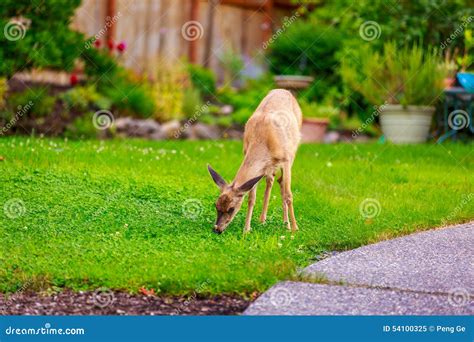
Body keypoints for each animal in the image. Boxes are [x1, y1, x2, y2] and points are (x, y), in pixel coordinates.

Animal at [208, 88, 304, 234]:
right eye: (216, 206)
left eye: (231, 209)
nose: (217, 229)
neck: (263, 139)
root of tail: (284, 90)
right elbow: (251, 198)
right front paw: (247, 229)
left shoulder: (286, 159)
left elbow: (288, 195)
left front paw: (295, 228)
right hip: (270, 167)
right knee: (271, 181)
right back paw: (263, 219)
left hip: (292, 152)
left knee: (281, 184)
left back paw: (286, 224)